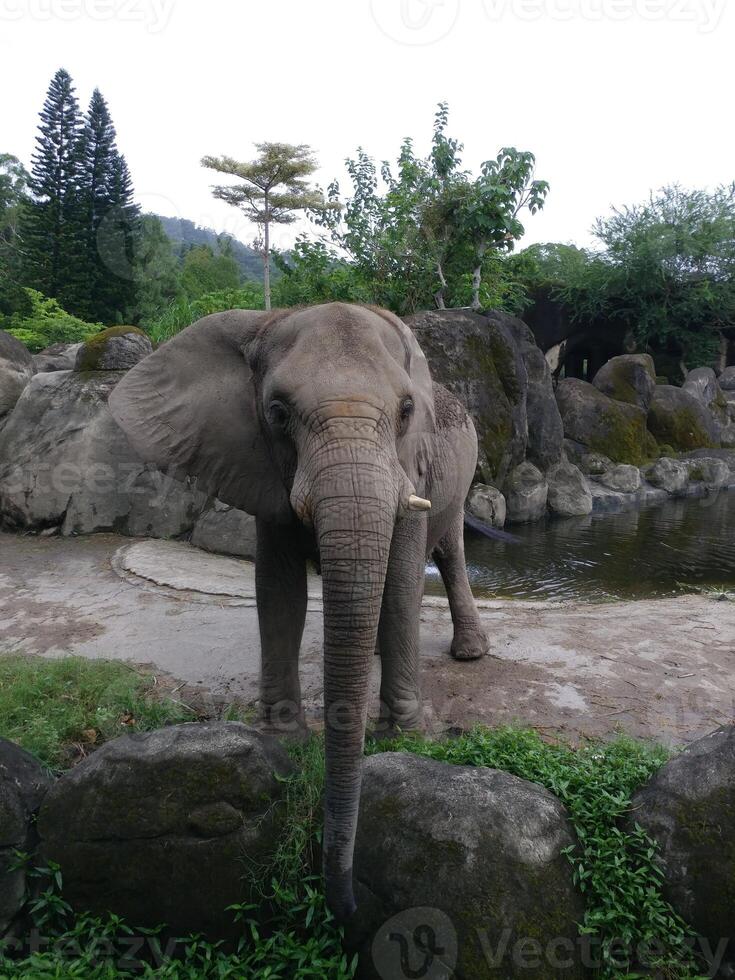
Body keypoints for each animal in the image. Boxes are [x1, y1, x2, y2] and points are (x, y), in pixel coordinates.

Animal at [109, 302, 488, 924]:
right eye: (278, 413)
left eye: (407, 410)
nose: (348, 905)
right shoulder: (257, 464)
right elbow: (278, 588)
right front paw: (286, 740)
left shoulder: (413, 464)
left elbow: (401, 581)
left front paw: (402, 737)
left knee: (450, 549)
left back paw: (471, 654)